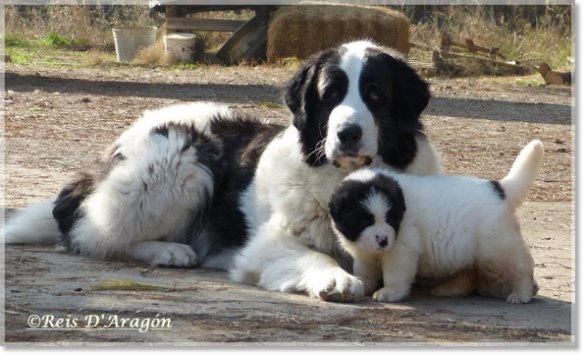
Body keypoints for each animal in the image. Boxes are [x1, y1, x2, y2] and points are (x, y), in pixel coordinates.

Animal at [4, 41, 440, 300]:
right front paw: (336, 278)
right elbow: (314, 256)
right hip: (181, 158)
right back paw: (169, 251)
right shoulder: (265, 245)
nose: (348, 133)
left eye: (375, 94)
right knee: (91, 232)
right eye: (331, 95)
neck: (338, 177)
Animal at [326, 139, 540, 304]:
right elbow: (366, 270)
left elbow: (395, 273)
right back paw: (448, 289)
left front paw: (390, 292)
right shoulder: (365, 252)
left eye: (391, 219)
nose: (384, 240)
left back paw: (522, 293)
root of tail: (498, 188)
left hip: (498, 248)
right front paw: (363, 283)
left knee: (522, 267)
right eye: (363, 222)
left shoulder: (403, 248)